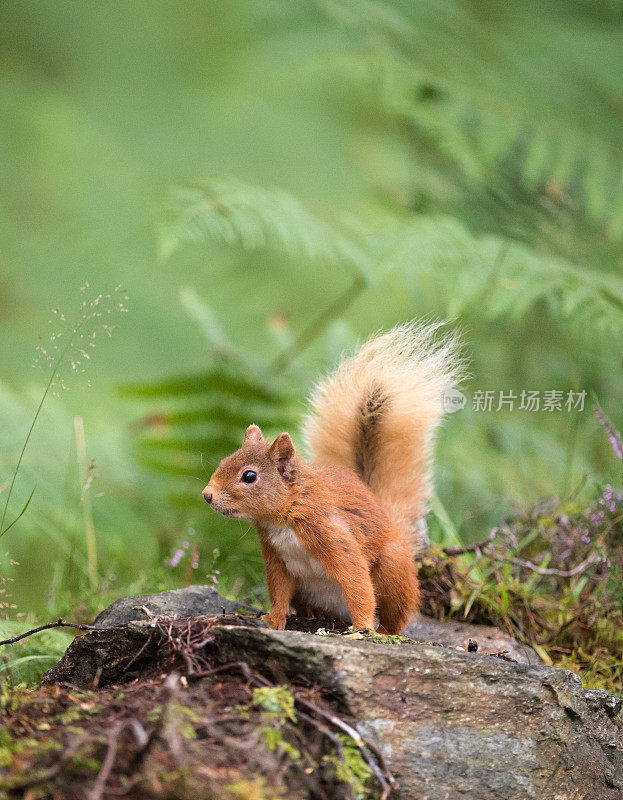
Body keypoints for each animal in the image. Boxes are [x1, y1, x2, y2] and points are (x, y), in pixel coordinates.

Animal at [202, 322, 460, 636]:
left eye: (249, 476)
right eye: (223, 461)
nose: (207, 495)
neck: (287, 515)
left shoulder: (335, 535)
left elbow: (357, 582)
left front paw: (362, 629)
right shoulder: (277, 559)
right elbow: (279, 592)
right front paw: (273, 620)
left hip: (393, 569)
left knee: (394, 615)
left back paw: (382, 630)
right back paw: (315, 613)